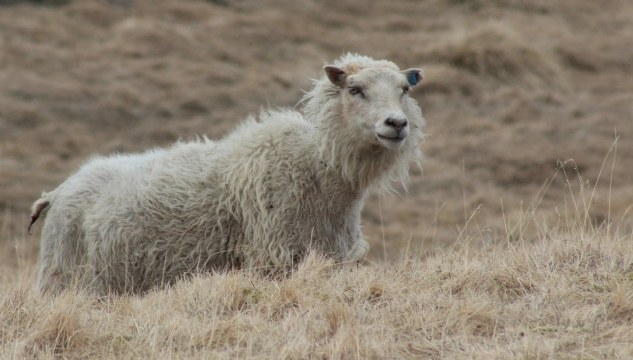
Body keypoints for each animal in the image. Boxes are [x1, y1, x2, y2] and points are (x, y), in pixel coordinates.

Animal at [28, 53, 424, 296]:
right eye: (355, 90)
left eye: (404, 90)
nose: (396, 124)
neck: (317, 166)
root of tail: (58, 191)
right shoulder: (273, 259)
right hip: (62, 273)